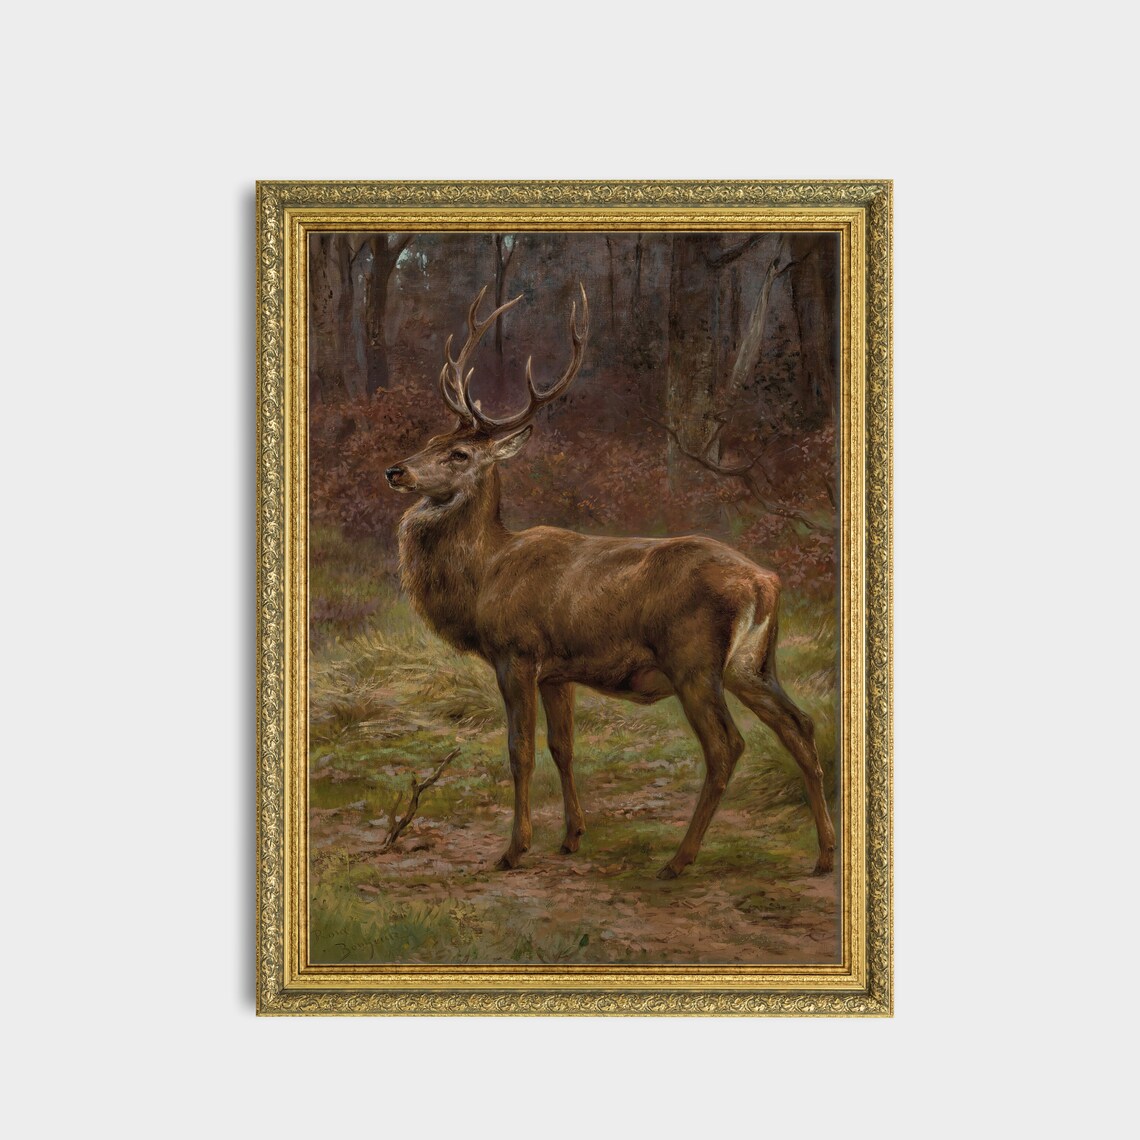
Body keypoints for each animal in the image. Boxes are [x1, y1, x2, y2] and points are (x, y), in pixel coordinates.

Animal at [385, 284, 836, 879]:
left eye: (458, 453)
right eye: (430, 439)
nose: (396, 470)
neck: (485, 576)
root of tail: (765, 582)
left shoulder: (516, 652)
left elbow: (520, 750)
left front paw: (513, 849)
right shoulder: (556, 671)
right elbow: (563, 747)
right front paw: (572, 836)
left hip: (693, 659)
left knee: (726, 747)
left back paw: (678, 860)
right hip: (753, 663)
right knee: (800, 727)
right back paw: (825, 855)